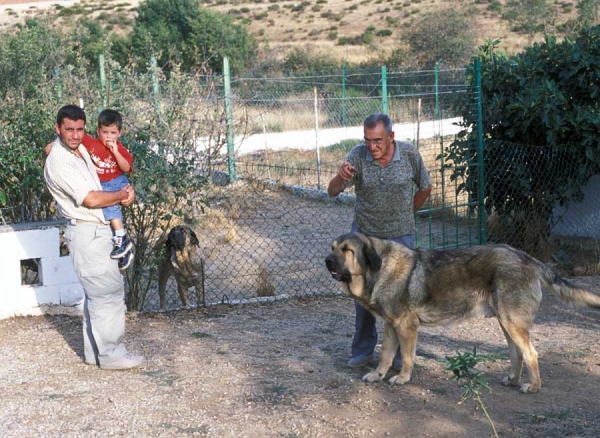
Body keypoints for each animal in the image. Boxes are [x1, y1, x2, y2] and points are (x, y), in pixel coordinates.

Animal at [326, 233, 600, 394]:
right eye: (333, 248)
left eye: (347, 250)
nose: (327, 261)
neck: (379, 269)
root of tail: (528, 258)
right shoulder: (391, 327)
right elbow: (384, 355)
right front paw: (378, 375)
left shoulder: (406, 327)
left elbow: (406, 357)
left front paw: (402, 378)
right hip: (506, 323)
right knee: (517, 354)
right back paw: (513, 380)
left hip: (511, 322)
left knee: (531, 353)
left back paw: (533, 386)